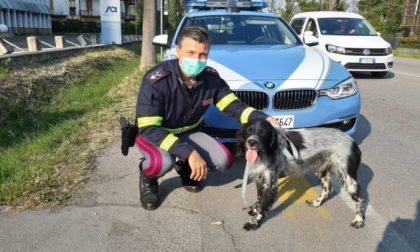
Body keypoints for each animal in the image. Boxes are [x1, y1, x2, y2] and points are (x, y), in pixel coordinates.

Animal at [236, 119, 364, 231]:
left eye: (263, 132)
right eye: (249, 130)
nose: (252, 142)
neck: (265, 153)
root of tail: (352, 141)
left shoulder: (270, 184)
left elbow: (263, 206)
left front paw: (254, 223)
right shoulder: (260, 180)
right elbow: (259, 199)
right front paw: (255, 209)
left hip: (348, 179)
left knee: (360, 200)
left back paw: (358, 220)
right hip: (322, 171)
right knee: (328, 189)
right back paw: (316, 203)